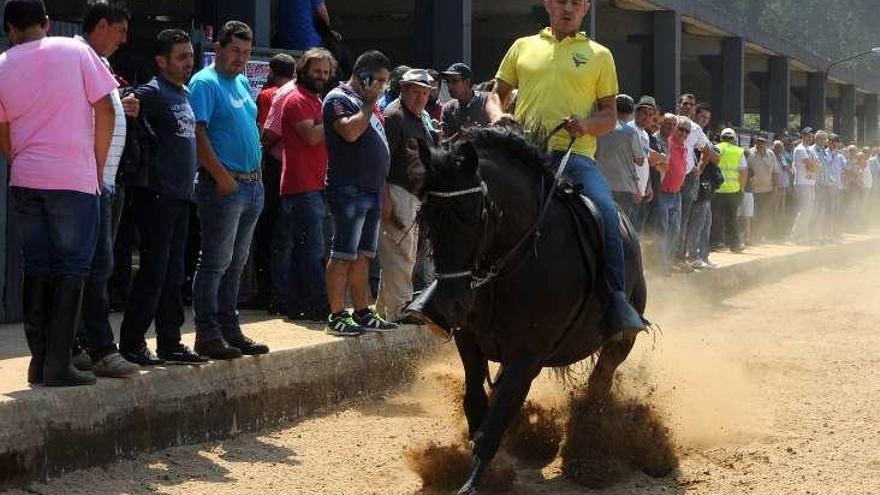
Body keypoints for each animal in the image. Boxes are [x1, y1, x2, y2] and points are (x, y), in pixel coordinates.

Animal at [406, 129, 648, 495]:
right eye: (426, 217)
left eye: (471, 214)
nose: (452, 304)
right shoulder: (470, 342)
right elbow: (476, 404)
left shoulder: (527, 355)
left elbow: (496, 418)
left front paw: (473, 481)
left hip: (621, 341)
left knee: (599, 385)